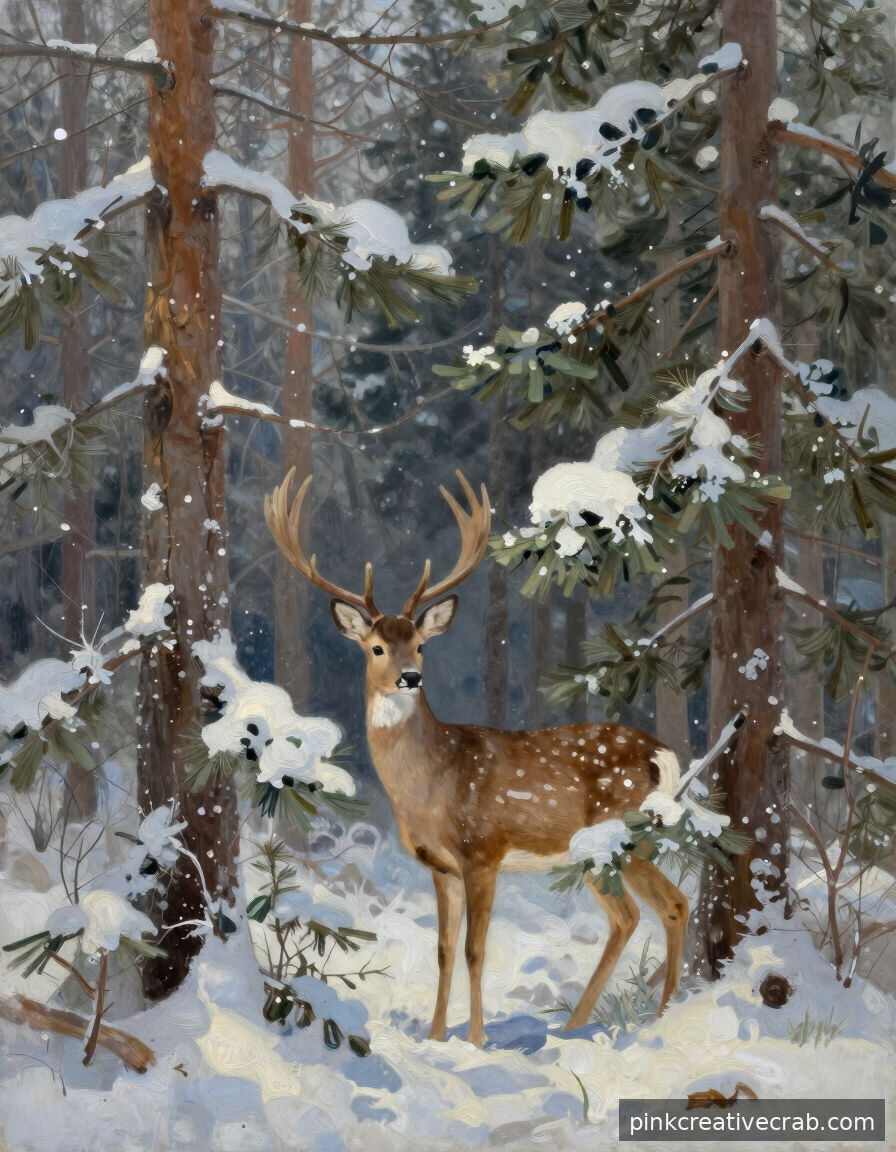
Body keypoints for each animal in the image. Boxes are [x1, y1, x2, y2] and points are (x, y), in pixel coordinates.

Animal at [265, 467, 689, 1048]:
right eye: (377, 648)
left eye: (421, 645)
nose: (409, 677)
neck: (430, 785)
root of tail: (663, 755)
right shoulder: (440, 866)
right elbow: (444, 950)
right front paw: (435, 1036)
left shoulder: (482, 851)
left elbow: (475, 949)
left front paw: (476, 1040)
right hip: (599, 851)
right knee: (632, 916)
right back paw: (579, 1025)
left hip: (623, 835)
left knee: (668, 906)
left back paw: (659, 1020)